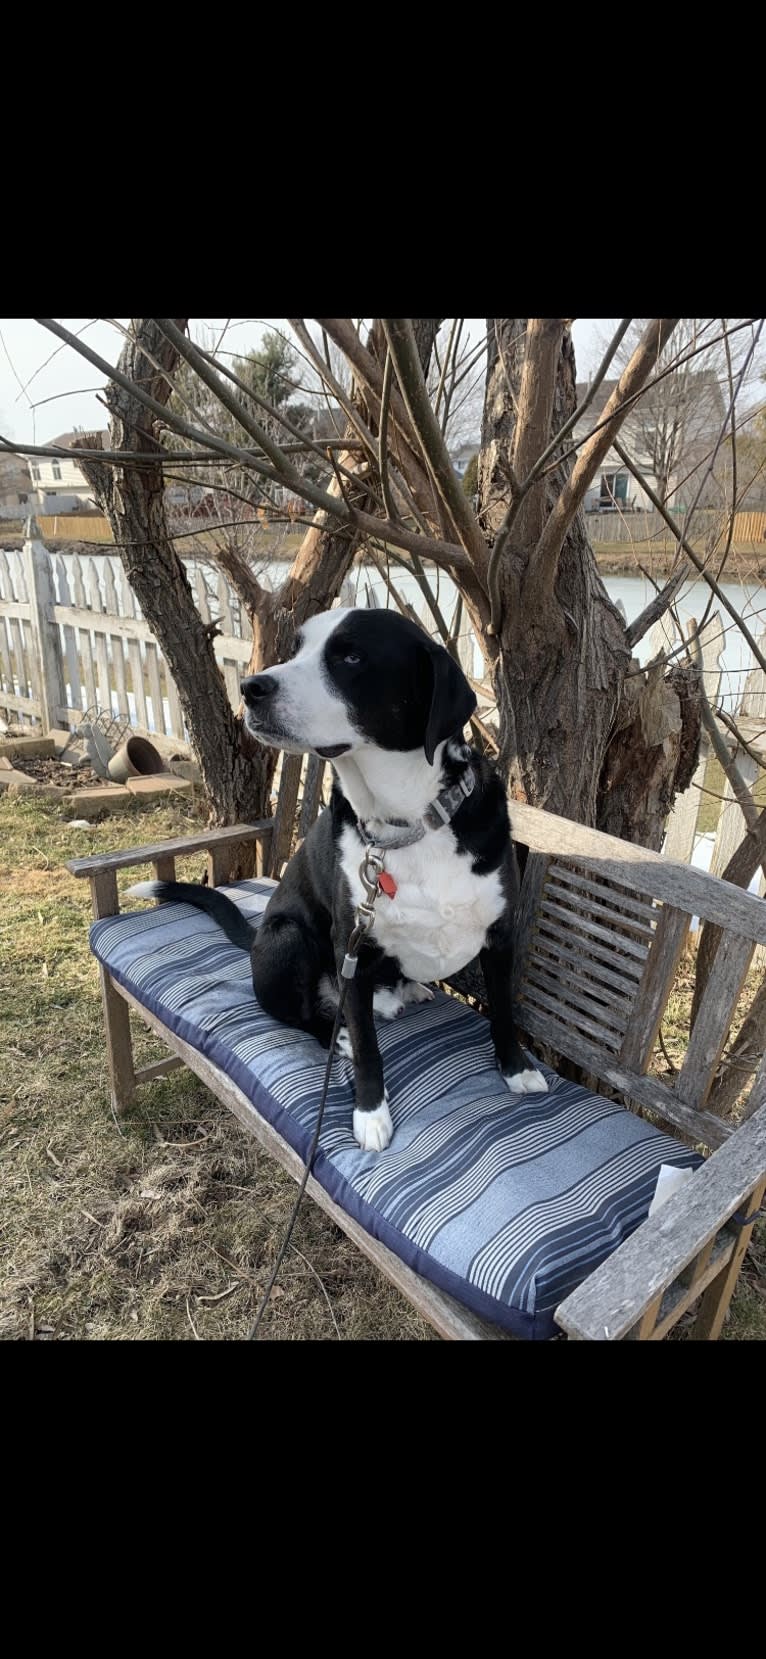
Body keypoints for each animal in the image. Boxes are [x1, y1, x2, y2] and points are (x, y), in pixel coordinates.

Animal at [128, 610, 543, 1154]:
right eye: (296, 648)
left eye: (350, 656)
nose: (251, 687)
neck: (407, 824)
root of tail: (256, 937)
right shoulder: (353, 947)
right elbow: (368, 1049)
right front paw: (370, 1114)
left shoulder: (500, 937)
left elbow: (504, 1014)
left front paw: (515, 1070)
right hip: (288, 940)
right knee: (304, 1015)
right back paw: (338, 1033)